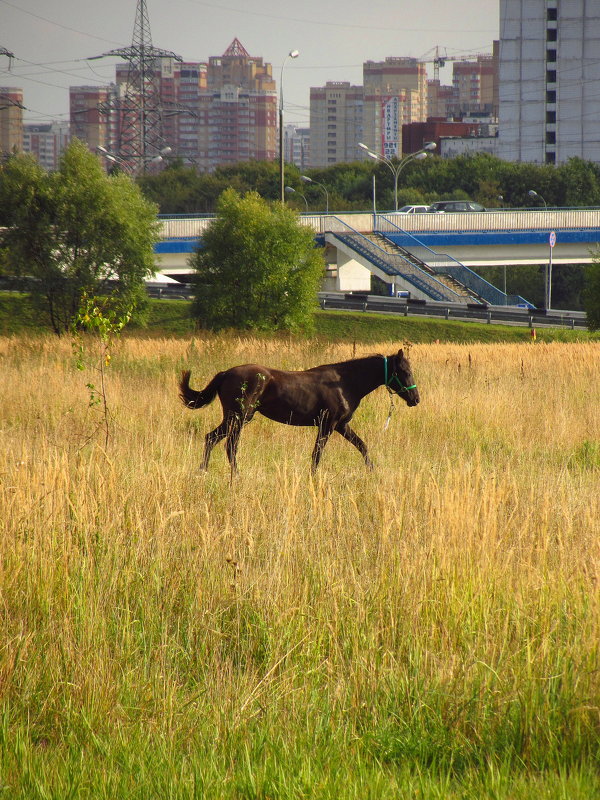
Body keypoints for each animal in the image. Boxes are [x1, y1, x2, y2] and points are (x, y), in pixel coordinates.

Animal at [180, 348, 420, 472]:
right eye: (405, 372)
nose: (415, 399)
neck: (345, 383)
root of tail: (226, 373)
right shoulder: (327, 425)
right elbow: (317, 454)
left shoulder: (341, 425)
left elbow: (362, 446)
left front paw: (372, 470)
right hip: (239, 417)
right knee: (228, 444)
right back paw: (234, 475)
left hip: (234, 418)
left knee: (212, 438)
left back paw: (203, 470)